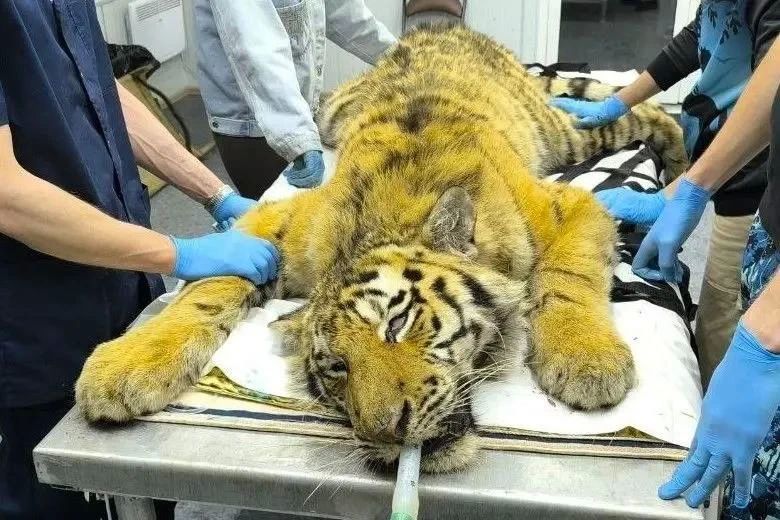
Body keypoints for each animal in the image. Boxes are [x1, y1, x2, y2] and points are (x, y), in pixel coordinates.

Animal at [75, 24, 687, 473]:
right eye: (337, 367)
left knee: (641, 113)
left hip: (564, 134)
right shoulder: (281, 219)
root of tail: (442, 26)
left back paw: (680, 169)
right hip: (332, 112)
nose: (387, 431)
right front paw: (124, 368)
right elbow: (208, 284)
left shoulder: (569, 205)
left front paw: (584, 360)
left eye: (397, 325)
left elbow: (570, 275)